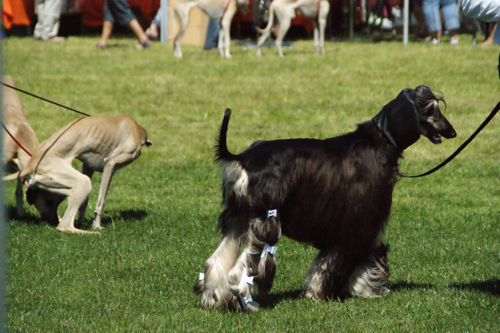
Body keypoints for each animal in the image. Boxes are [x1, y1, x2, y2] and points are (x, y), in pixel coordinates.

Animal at [194, 84, 458, 310]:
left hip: (238, 218)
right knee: (239, 271)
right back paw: (247, 303)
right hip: (263, 221)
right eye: (431, 109)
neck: (380, 142)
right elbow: (344, 259)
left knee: (215, 262)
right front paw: (344, 290)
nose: (452, 132)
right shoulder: (360, 221)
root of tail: (242, 158)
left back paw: (213, 299)